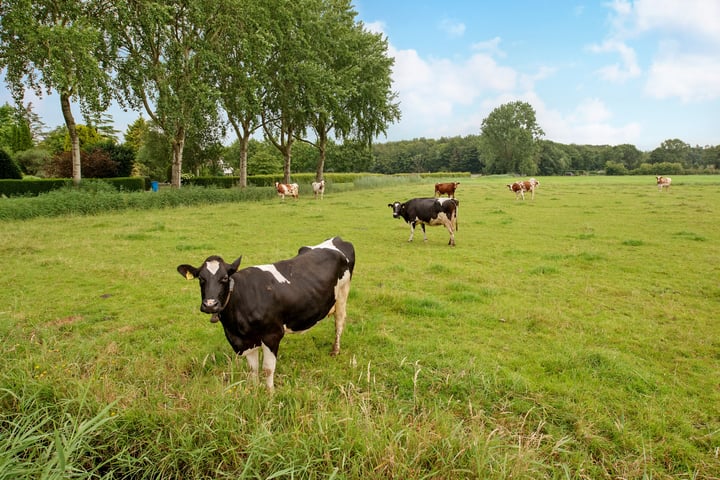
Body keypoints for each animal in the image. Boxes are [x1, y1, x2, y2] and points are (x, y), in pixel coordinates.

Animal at [176, 236, 352, 390]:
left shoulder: (273, 335)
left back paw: (335, 350)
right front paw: (253, 391)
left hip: (342, 295)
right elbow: (253, 368)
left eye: (225, 278)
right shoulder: (244, 339)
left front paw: (269, 393)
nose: (210, 304)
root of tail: (336, 239)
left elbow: (267, 369)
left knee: (339, 323)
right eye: (201, 278)